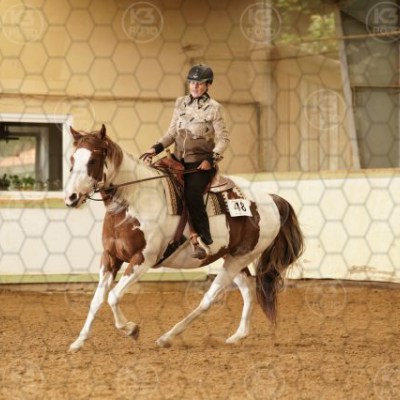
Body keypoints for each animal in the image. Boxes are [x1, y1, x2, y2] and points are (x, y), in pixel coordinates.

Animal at [64, 124, 304, 351]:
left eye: (93, 160)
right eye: (73, 159)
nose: (71, 197)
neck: (134, 199)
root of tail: (271, 199)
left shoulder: (143, 259)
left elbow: (113, 296)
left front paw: (132, 329)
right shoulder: (110, 258)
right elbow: (96, 300)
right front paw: (78, 342)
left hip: (240, 258)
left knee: (209, 299)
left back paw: (167, 337)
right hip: (232, 257)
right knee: (248, 290)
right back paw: (237, 335)